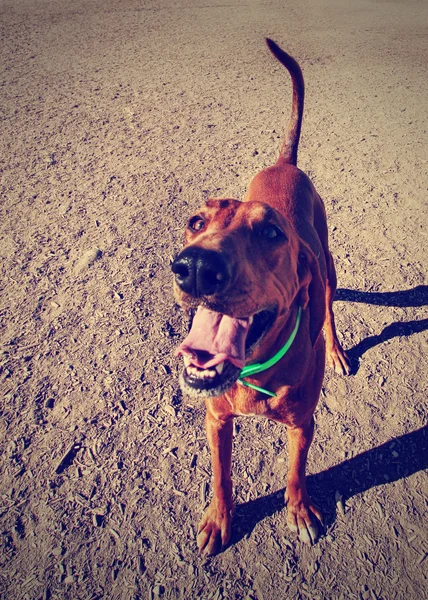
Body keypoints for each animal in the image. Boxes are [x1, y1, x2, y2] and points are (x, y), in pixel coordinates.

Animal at [171, 38, 352, 556]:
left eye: (271, 232)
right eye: (196, 222)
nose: (195, 266)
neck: (252, 368)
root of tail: (284, 164)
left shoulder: (303, 424)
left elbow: (295, 471)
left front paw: (300, 511)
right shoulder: (215, 420)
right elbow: (221, 477)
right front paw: (219, 520)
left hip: (328, 267)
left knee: (329, 310)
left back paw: (336, 349)